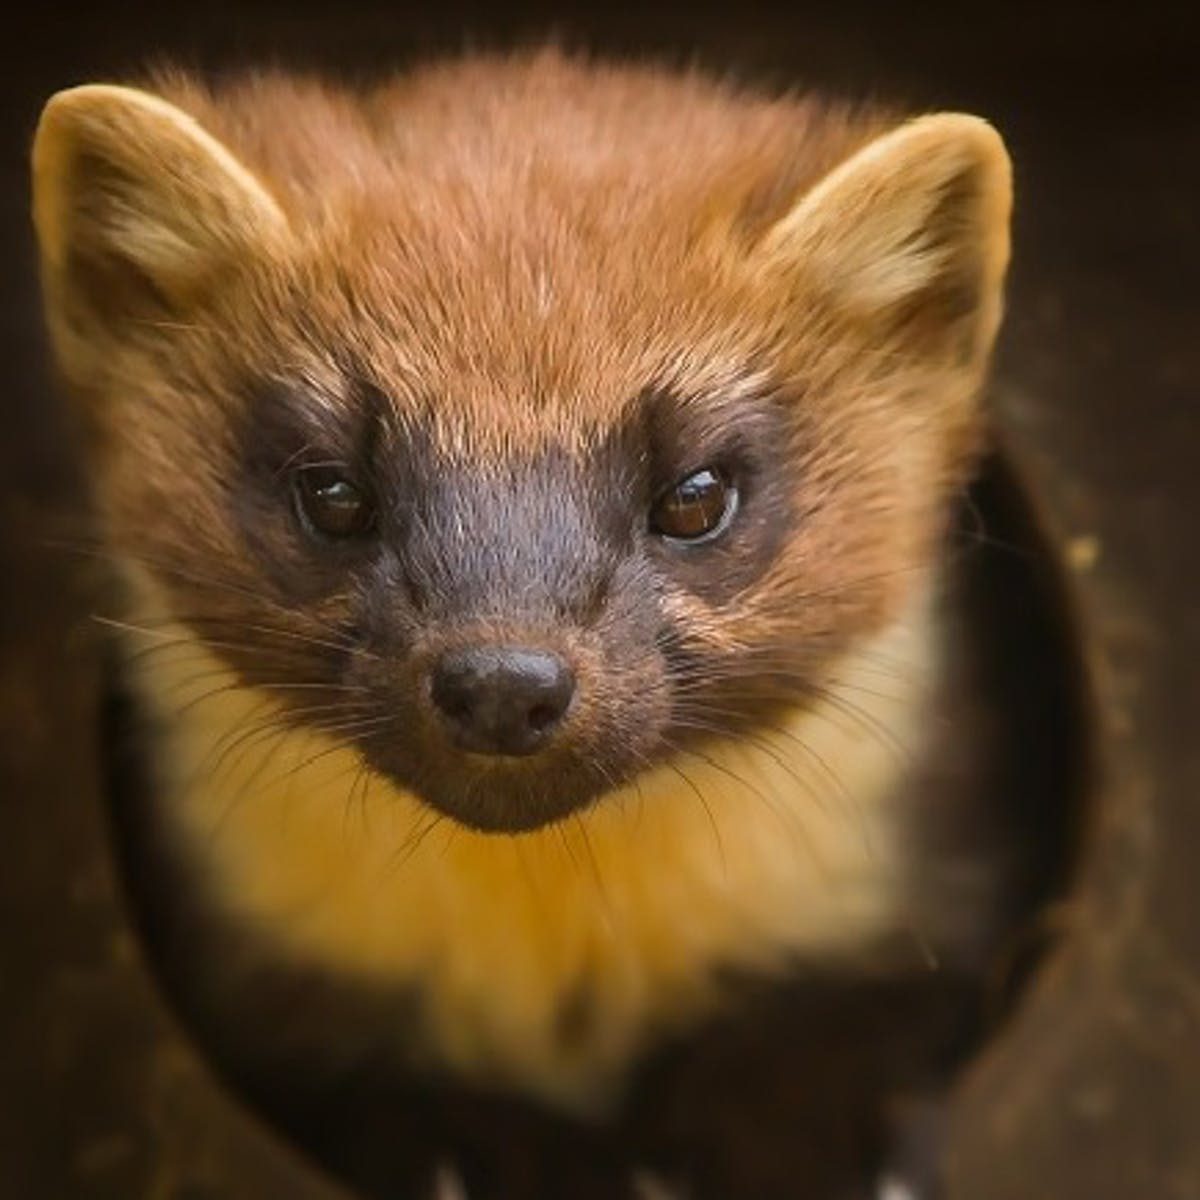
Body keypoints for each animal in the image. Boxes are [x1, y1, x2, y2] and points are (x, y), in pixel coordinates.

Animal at [32, 47, 1019, 1199]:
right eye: (331, 488)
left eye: (696, 491)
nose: (502, 677)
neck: (548, 955)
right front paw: (479, 1155)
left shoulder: (893, 907)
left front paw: (815, 1147)